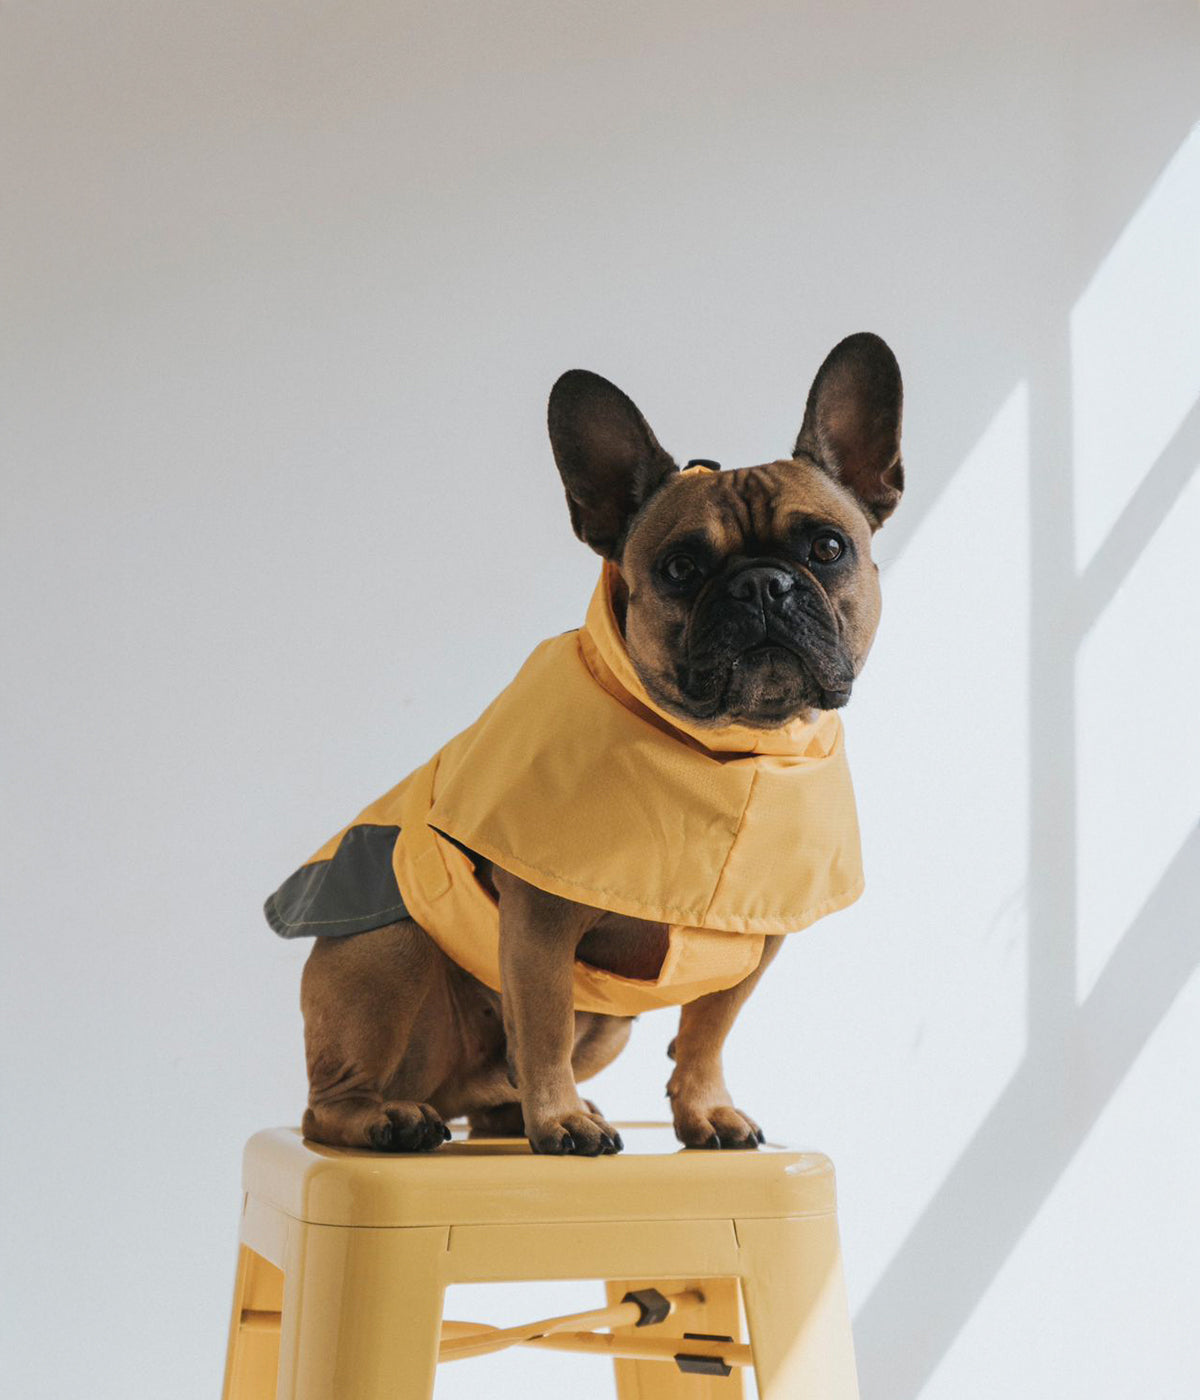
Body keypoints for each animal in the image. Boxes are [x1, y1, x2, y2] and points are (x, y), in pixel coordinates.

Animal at [261, 330, 896, 1159]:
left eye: (826, 548)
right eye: (681, 568)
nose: (762, 584)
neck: (725, 752)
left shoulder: (753, 945)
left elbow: (707, 1033)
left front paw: (704, 1110)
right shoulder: (540, 921)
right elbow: (544, 1024)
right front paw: (559, 1120)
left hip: (607, 1028)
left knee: (490, 1095)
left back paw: (510, 1114)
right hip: (389, 949)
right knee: (330, 1104)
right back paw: (394, 1119)